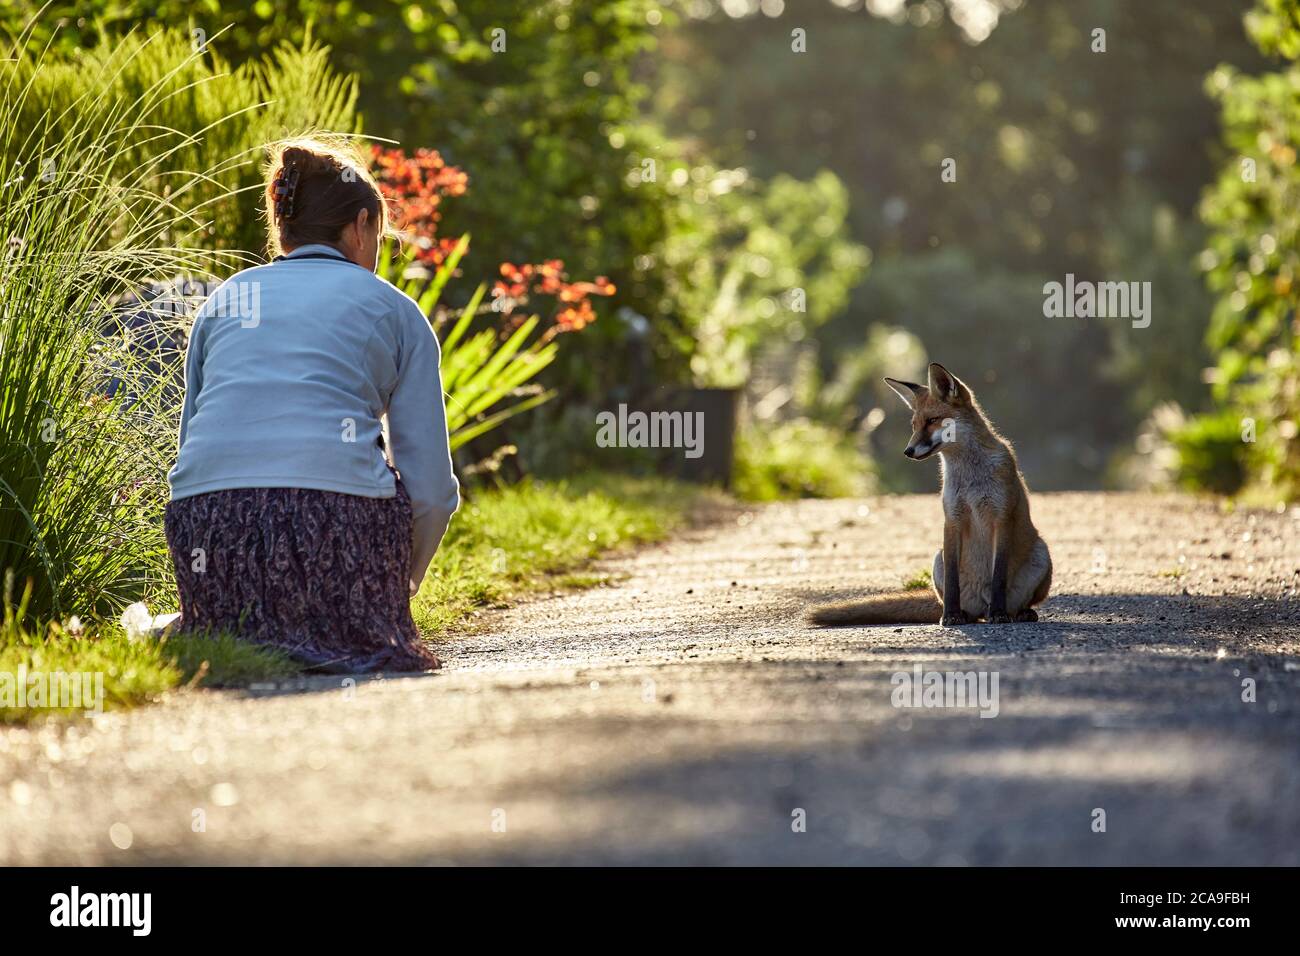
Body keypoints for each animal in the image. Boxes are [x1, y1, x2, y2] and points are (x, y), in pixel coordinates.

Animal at [806, 364, 1050, 629]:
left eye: (932, 421)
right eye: (914, 425)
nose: (908, 451)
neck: (970, 477)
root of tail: (981, 605)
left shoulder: (1001, 517)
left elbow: (998, 577)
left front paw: (999, 614)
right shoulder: (952, 519)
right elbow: (953, 580)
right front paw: (951, 616)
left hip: (1042, 555)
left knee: (1019, 603)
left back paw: (1017, 612)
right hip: (937, 560)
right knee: (964, 607)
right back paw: (962, 614)